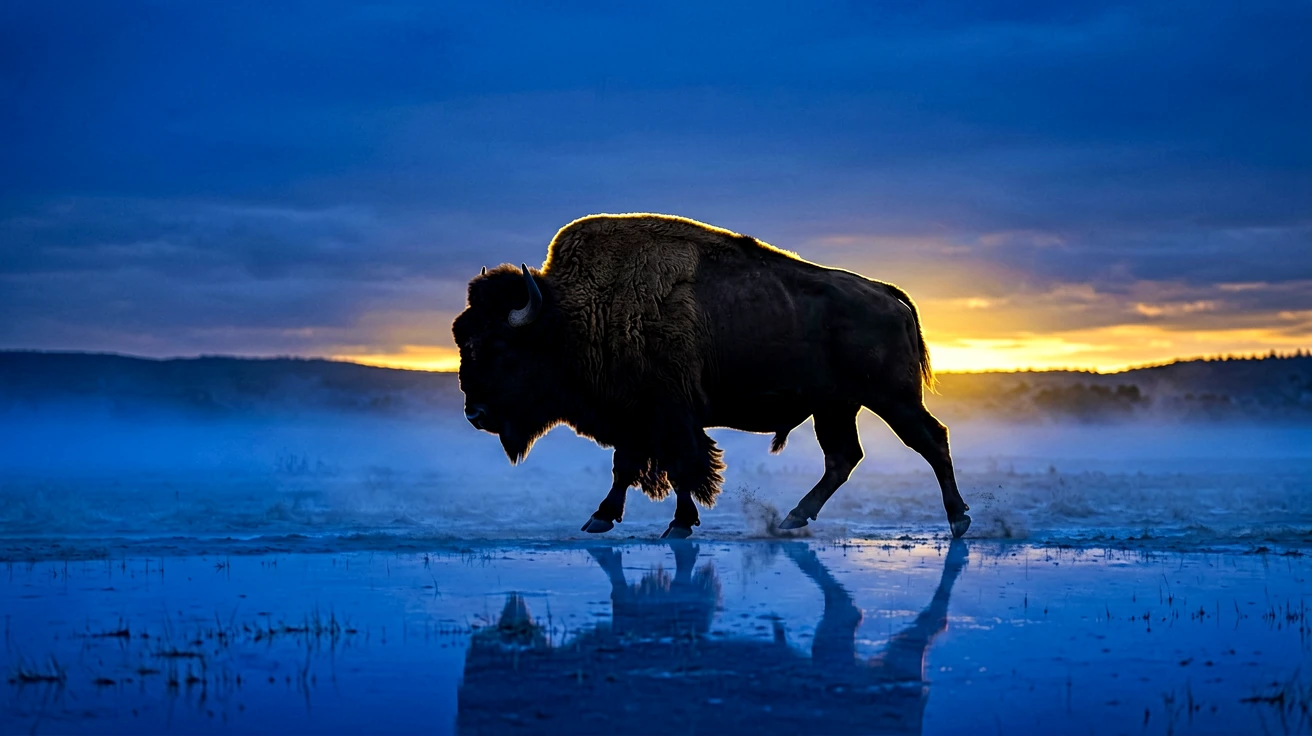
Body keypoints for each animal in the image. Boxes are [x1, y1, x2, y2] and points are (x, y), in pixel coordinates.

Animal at [453, 214, 971, 538]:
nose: (475, 414)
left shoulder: (668, 415)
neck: (571, 317)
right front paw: (601, 518)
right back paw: (792, 519)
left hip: (892, 398)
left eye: (499, 347)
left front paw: (678, 525)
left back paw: (959, 521)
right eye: (463, 339)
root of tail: (886, 293)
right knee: (843, 458)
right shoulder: (636, 417)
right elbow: (629, 467)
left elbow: (682, 466)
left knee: (931, 440)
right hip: (836, 407)